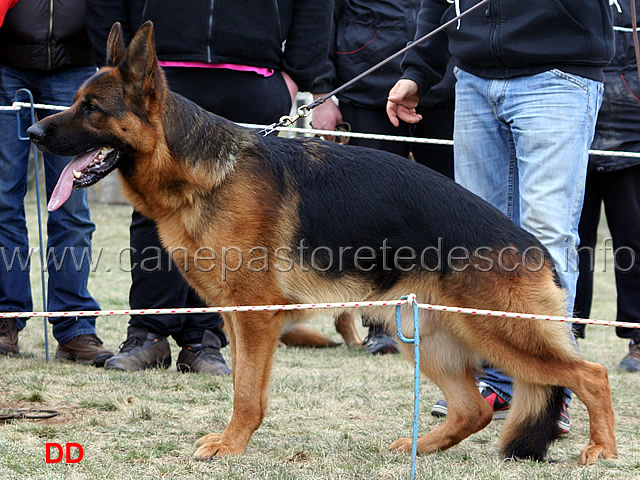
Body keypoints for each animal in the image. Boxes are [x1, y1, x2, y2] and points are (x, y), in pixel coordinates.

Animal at [27, 22, 616, 464]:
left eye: (91, 109)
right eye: (75, 102)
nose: (31, 134)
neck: (204, 172)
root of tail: (534, 246)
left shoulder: (257, 316)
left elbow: (247, 394)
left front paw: (232, 446)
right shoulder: (240, 316)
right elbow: (244, 386)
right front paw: (235, 440)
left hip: (501, 331)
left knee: (590, 373)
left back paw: (601, 450)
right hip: (420, 334)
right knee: (474, 409)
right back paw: (418, 449)